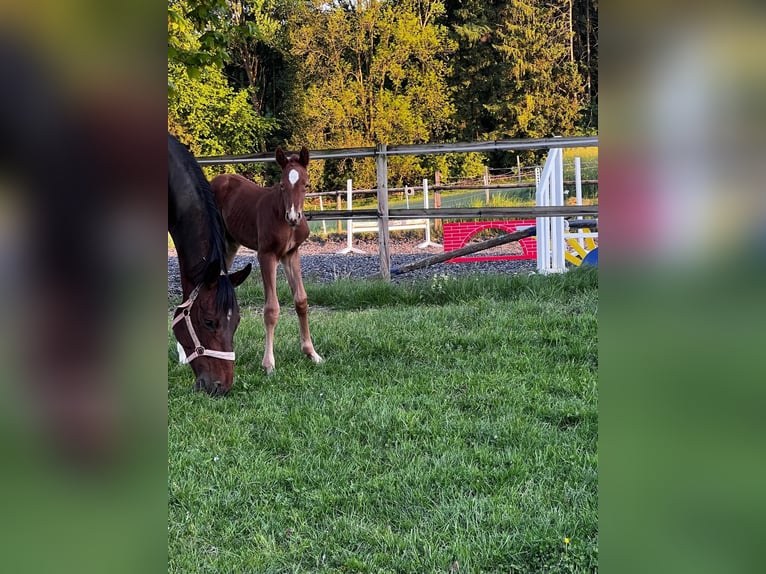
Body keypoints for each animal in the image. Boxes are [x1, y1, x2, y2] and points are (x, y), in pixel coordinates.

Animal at [211, 146, 323, 374]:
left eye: (305, 184)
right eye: (282, 184)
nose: (293, 217)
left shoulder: (291, 254)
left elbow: (301, 300)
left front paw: (311, 353)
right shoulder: (266, 255)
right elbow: (271, 309)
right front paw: (269, 363)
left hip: (229, 245)